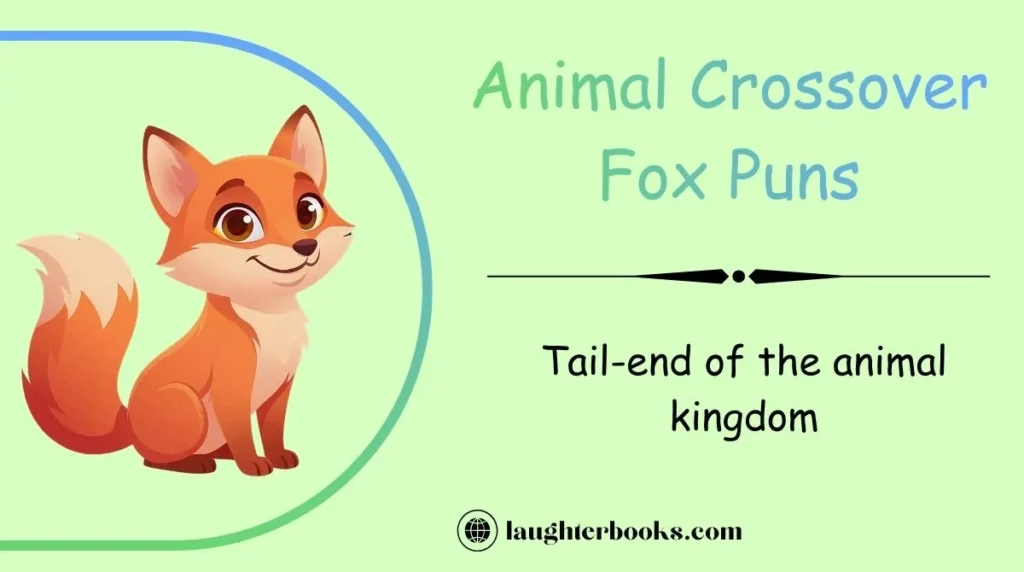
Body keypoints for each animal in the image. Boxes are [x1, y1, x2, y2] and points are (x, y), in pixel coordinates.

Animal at [18, 105, 354, 476]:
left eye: (309, 211)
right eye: (238, 224)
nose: (305, 246)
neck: (270, 319)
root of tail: (129, 423)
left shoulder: (281, 387)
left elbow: (272, 429)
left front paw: (278, 457)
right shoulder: (231, 390)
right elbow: (242, 432)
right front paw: (252, 464)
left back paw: (221, 455)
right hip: (187, 404)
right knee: (153, 458)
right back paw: (197, 463)